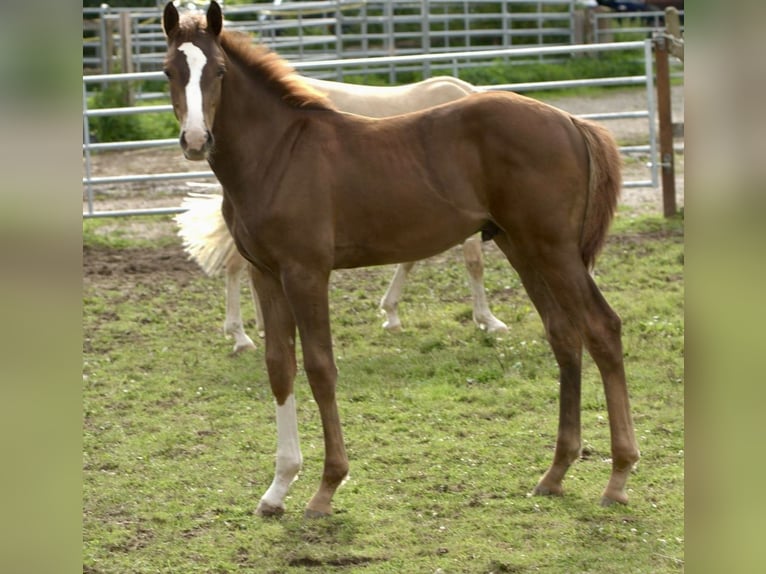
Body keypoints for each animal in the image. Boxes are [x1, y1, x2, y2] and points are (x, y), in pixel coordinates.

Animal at [162, 0, 640, 520]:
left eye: (220, 71)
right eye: (168, 70)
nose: (195, 140)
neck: (278, 155)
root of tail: (572, 122)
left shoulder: (306, 273)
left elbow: (320, 368)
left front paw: (326, 487)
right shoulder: (265, 273)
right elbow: (279, 367)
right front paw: (277, 488)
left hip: (554, 249)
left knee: (603, 328)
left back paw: (618, 476)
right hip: (524, 248)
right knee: (564, 335)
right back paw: (555, 473)